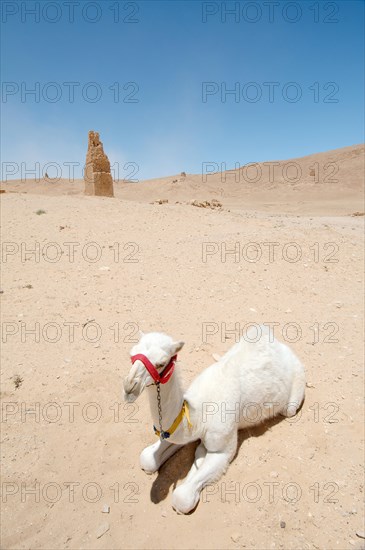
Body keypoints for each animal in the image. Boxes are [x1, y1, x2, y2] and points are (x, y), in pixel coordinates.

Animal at [122, 326, 304, 516]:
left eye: (161, 363)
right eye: (131, 355)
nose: (129, 388)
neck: (199, 413)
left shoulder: (222, 448)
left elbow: (182, 497)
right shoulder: (182, 431)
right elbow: (147, 458)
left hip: (294, 391)